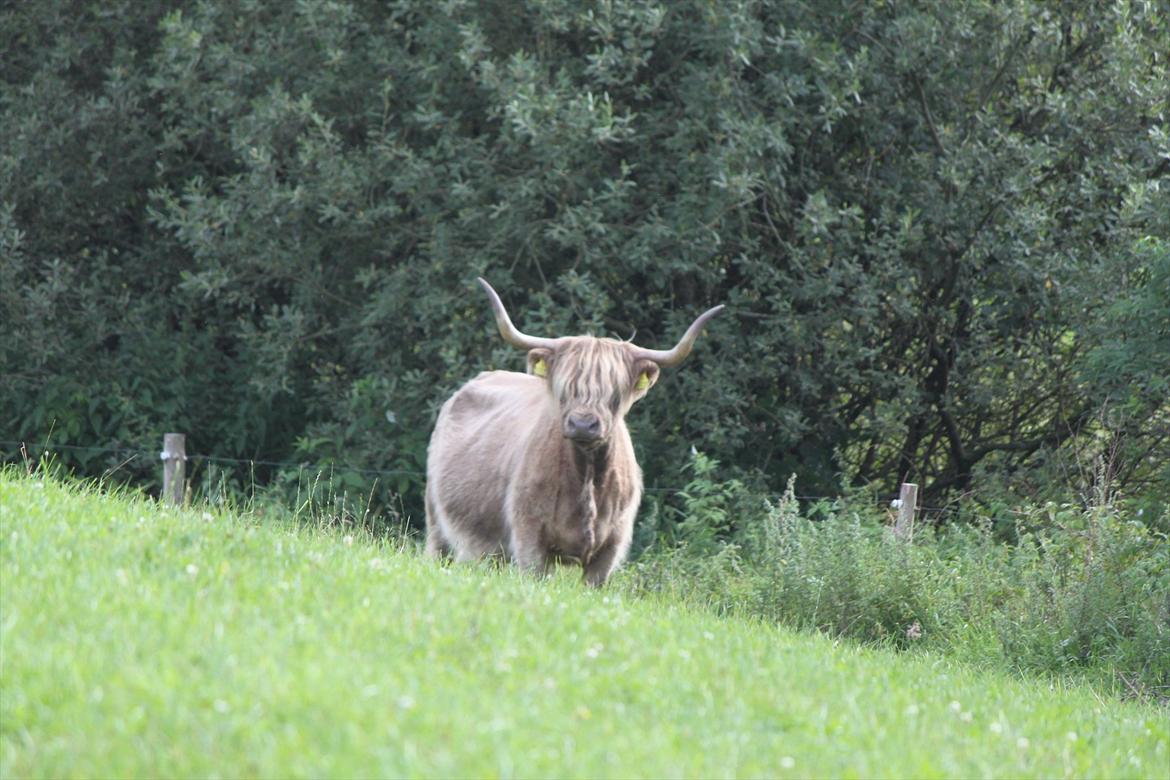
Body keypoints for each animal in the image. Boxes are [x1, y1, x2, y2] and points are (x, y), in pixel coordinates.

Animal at [424, 278, 723, 586]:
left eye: (614, 393)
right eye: (565, 388)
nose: (582, 424)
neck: (587, 477)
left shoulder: (610, 547)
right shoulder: (529, 536)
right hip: (437, 522)